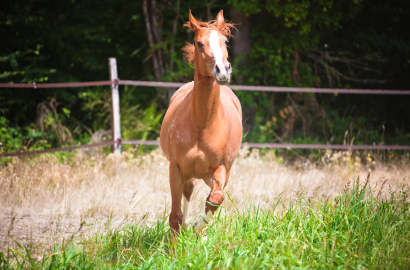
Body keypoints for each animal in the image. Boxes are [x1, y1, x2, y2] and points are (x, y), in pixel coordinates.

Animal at [159, 9, 243, 235]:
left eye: (225, 40)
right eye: (199, 43)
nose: (222, 70)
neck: (201, 126)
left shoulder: (220, 169)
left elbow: (215, 199)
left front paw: (199, 228)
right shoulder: (175, 169)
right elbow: (175, 216)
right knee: (187, 193)